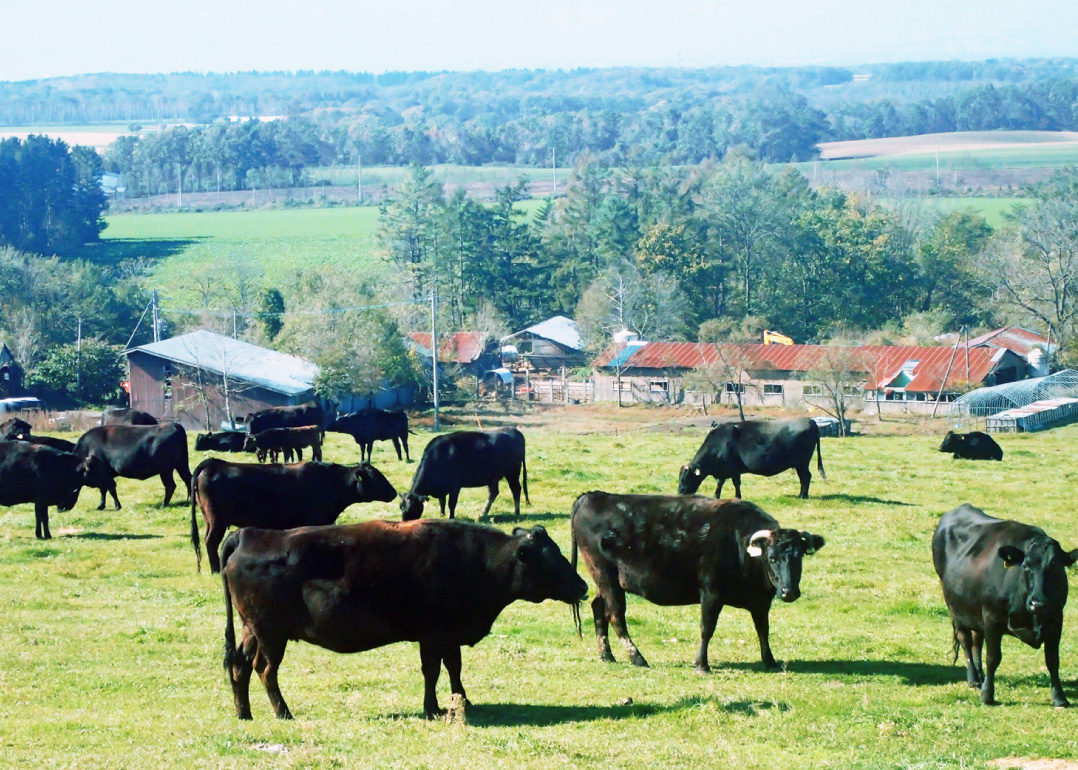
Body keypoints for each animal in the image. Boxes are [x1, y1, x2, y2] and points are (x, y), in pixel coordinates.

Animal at [191, 455, 398, 569]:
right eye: (376, 477)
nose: (394, 492)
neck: (332, 482)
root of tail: (214, 463)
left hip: (209, 519)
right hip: (217, 520)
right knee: (210, 542)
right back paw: (215, 569)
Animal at [220, 519, 590, 716]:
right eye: (548, 558)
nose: (583, 586)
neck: (476, 560)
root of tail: (249, 533)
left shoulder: (449, 636)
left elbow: (453, 668)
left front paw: (463, 701)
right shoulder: (433, 636)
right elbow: (433, 671)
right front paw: (433, 708)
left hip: (251, 632)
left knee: (239, 666)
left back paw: (244, 713)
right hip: (272, 636)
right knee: (265, 670)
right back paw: (284, 713)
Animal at [569, 489, 819, 668]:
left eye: (799, 558)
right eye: (772, 558)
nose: (789, 592)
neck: (739, 544)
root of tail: (592, 496)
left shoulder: (760, 602)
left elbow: (763, 629)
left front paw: (770, 661)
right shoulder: (710, 593)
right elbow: (707, 628)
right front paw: (701, 664)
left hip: (604, 580)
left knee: (598, 608)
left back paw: (607, 655)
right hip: (606, 575)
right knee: (615, 615)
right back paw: (637, 658)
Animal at [672, 416, 823, 500]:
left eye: (685, 478)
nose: (680, 494)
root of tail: (809, 420)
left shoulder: (730, 469)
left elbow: (726, 483)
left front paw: (721, 496)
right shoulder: (731, 471)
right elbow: (731, 483)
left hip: (802, 463)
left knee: (806, 477)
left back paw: (803, 495)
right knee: (804, 477)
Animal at [931, 500, 1073, 703]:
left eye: (1054, 566)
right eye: (1026, 566)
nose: (1037, 604)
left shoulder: (1056, 619)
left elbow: (1052, 660)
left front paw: (1060, 698)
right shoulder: (992, 618)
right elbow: (993, 658)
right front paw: (987, 695)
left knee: (977, 640)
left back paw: (980, 676)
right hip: (955, 610)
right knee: (966, 641)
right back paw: (974, 679)